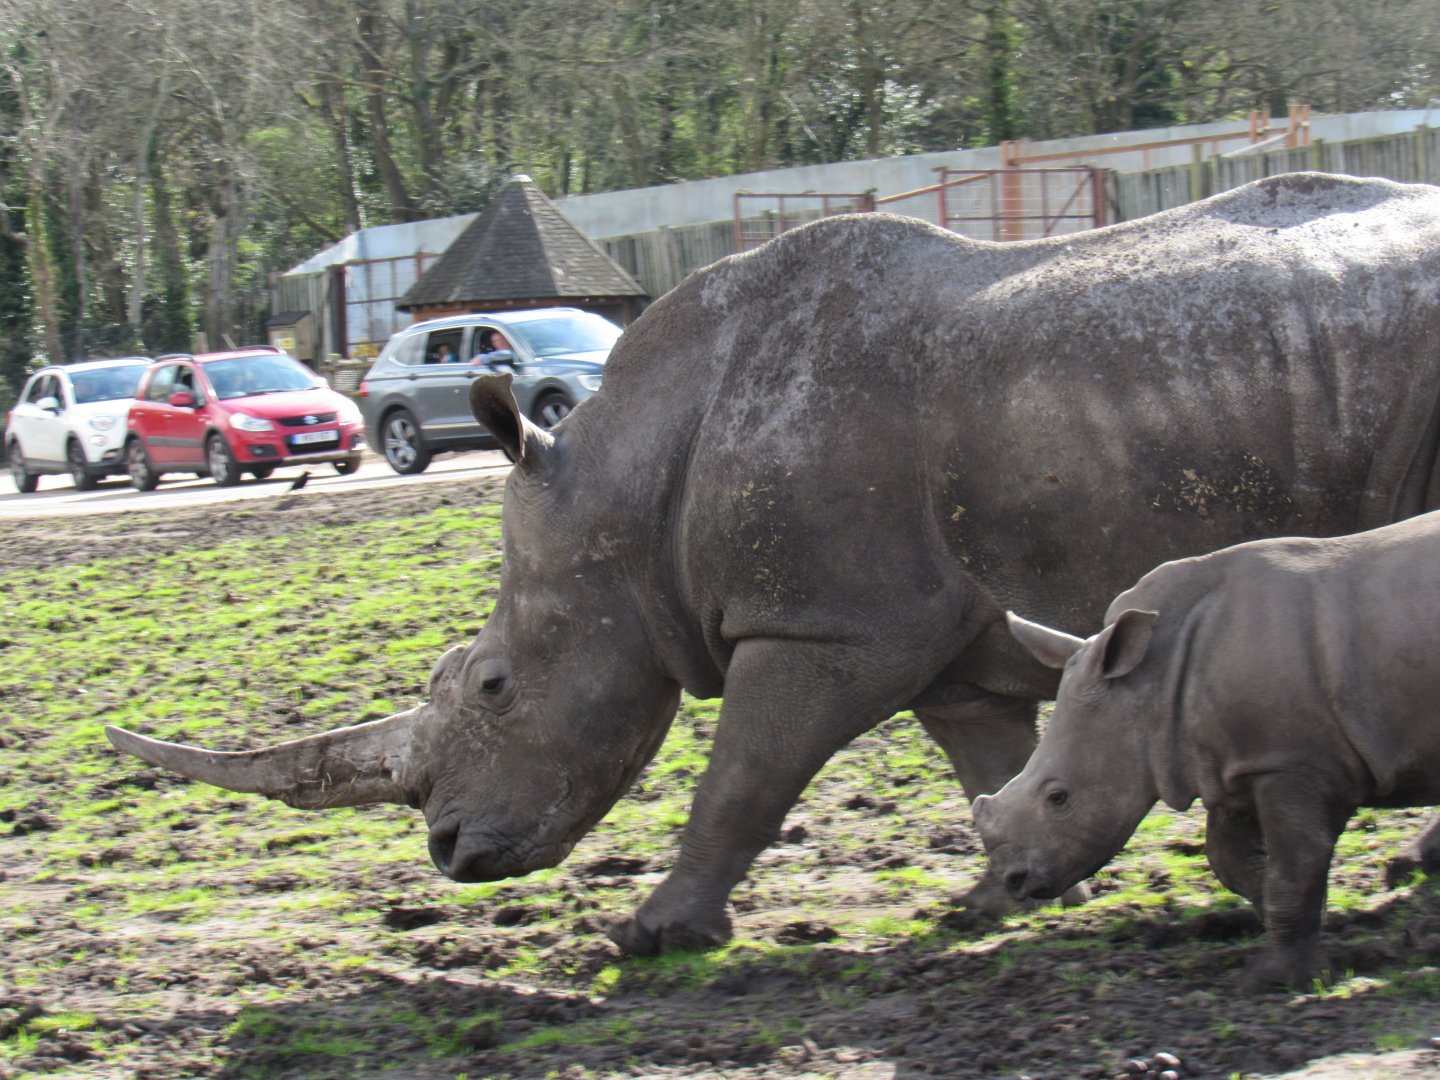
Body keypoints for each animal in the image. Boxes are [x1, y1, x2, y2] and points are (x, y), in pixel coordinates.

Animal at [975, 510, 1440, 989]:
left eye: (1058, 797)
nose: (1014, 880)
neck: (1149, 684)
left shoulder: (1293, 762)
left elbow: (1295, 864)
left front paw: (1272, 980)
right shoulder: (1238, 764)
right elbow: (1230, 860)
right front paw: (1293, 923)